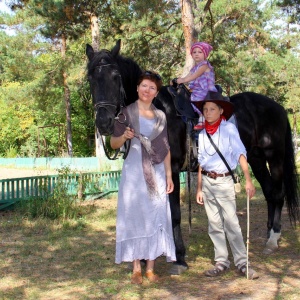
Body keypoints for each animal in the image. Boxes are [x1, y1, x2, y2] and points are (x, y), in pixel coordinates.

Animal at [85, 39, 298, 274]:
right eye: (91, 79)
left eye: (116, 76)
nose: (104, 123)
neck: (159, 111)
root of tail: (277, 108)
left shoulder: (172, 169)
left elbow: (175, 215)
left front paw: (179, 257)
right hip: (256, 158)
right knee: (269, 192)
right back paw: (269, 235)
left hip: (274, 156)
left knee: (277, 193)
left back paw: (273, 238)